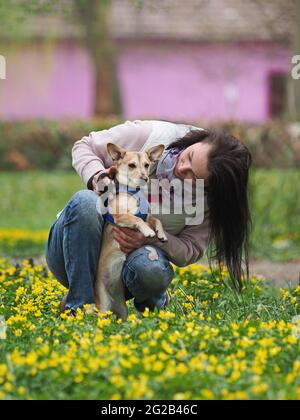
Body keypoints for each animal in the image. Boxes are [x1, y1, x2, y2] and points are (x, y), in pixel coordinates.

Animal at [95, 143, 168, 320]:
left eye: (147, 165)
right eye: (132, 165)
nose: (145, 177)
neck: (133, 192)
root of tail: (112, 303)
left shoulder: (148, 216)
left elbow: (156, 220)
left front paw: (161, 234)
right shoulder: (121, 216)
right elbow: (137, 219)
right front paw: (148, 232)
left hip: (123, 310)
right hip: (102, 307)